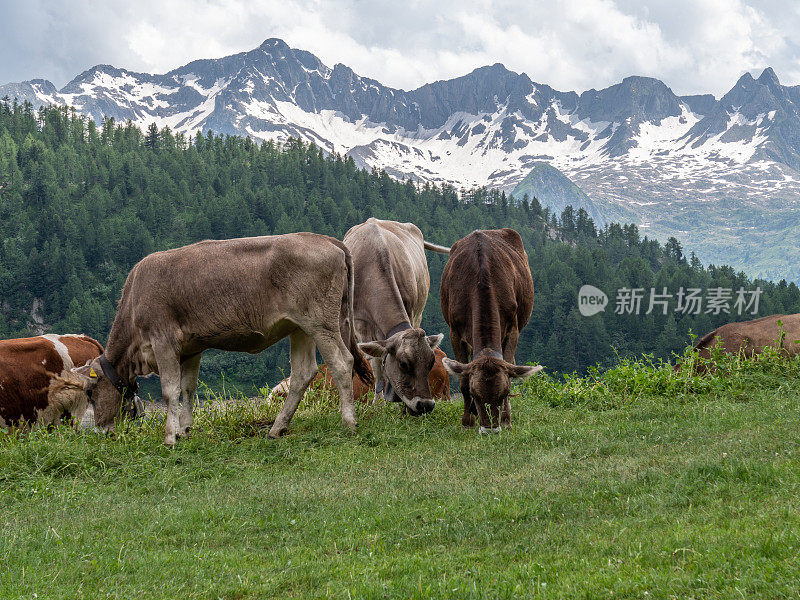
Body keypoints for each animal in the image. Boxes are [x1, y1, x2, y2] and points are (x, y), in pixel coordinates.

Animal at [71, 234, 372, 446]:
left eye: (91, 393)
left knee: (342, 363)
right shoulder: (192, 348)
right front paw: (185, 429)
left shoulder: (163, 340)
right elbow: (188, 388)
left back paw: (349, 421)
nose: (103, 431)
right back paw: (277, 428)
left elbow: (170, 390)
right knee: (303, 373)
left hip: (322, 324)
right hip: (300, 328)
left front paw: (170, 436)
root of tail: (326, 239)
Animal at [344, 217, 450, 418]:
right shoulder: (361, 325)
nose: (425, 405)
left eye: (431, 363)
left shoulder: (411, 310)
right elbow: (377, 364)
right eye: (403, 364)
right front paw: (378, 404)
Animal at [438, 227, 544, 434]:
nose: (490, 430)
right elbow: (463, 380)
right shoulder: (455, 332)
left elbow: (509, 371)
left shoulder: (513, 328)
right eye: (475, 393)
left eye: (504, 393)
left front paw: (506, 420)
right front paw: (467, 421)